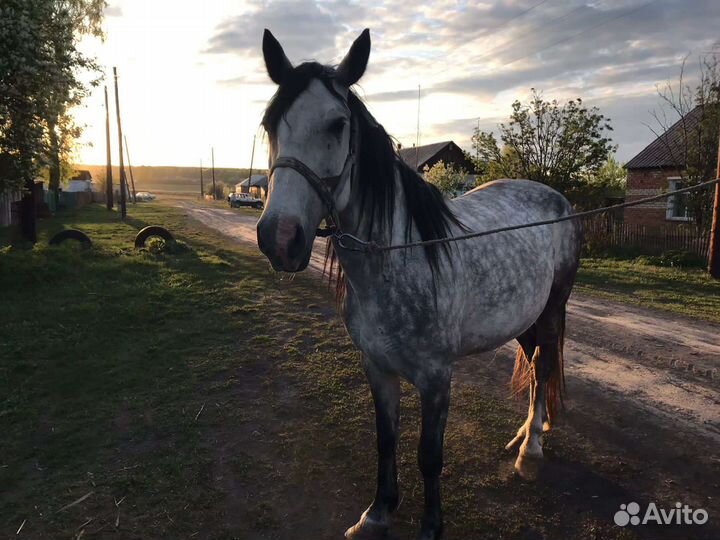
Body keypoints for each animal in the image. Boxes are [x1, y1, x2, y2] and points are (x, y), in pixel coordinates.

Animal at [256, 28, 582, 540]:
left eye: (337, 125)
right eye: (271, 124)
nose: (280, 238)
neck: (397, 259)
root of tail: (558, 200)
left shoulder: (436, 378)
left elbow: (429, 456)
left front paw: (430, 526)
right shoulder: (377, 368)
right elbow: (385, 441)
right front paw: (377, 513)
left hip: (552, 310)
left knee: (544, 365)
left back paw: (531, 450)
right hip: (524, 319)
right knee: (533, 368)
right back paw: (526, 433)